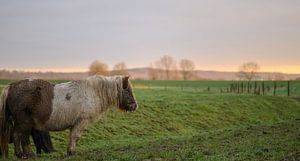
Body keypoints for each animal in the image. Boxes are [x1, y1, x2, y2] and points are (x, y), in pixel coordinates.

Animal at [0, 75, 138, 158]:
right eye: (127, 90)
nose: (135, 106)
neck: (92, 92)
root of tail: (11, 86)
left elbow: (72, 137)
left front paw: (70, 151)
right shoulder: (81, 122)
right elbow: (75, 137)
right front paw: (72, 152)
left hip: (19, 123)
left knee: (16, 136)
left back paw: (20, 155)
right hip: (25, 123)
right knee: (23, 138)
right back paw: (29, 155)